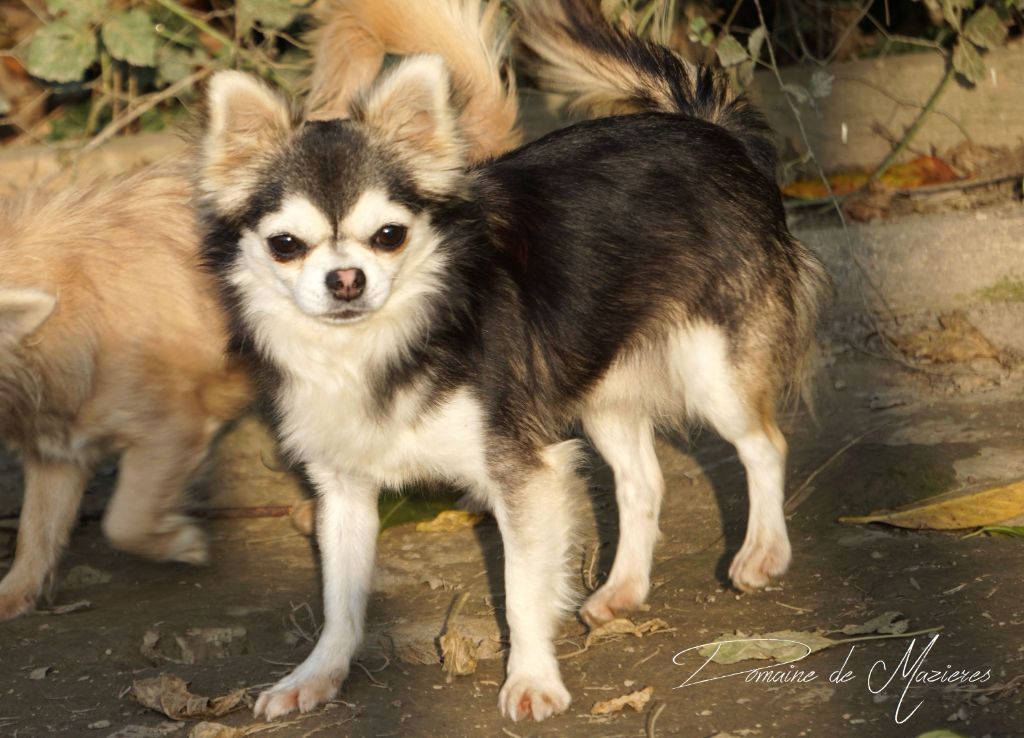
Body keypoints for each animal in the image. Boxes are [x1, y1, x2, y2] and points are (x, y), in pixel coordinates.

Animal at [196, 0, 829, 722]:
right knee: (643, 481)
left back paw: (762, 551)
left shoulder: (522, 472)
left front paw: (532, 681)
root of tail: (707, 128)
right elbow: (341, 599)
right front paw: (318, 675)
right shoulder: (345, 491)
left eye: (389, 236)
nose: (347, 279)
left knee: (764, 444)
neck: (382, 344)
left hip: (712, 369)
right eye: (285, 245)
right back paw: (623, 588)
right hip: (601, 388)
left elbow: (523, 590)